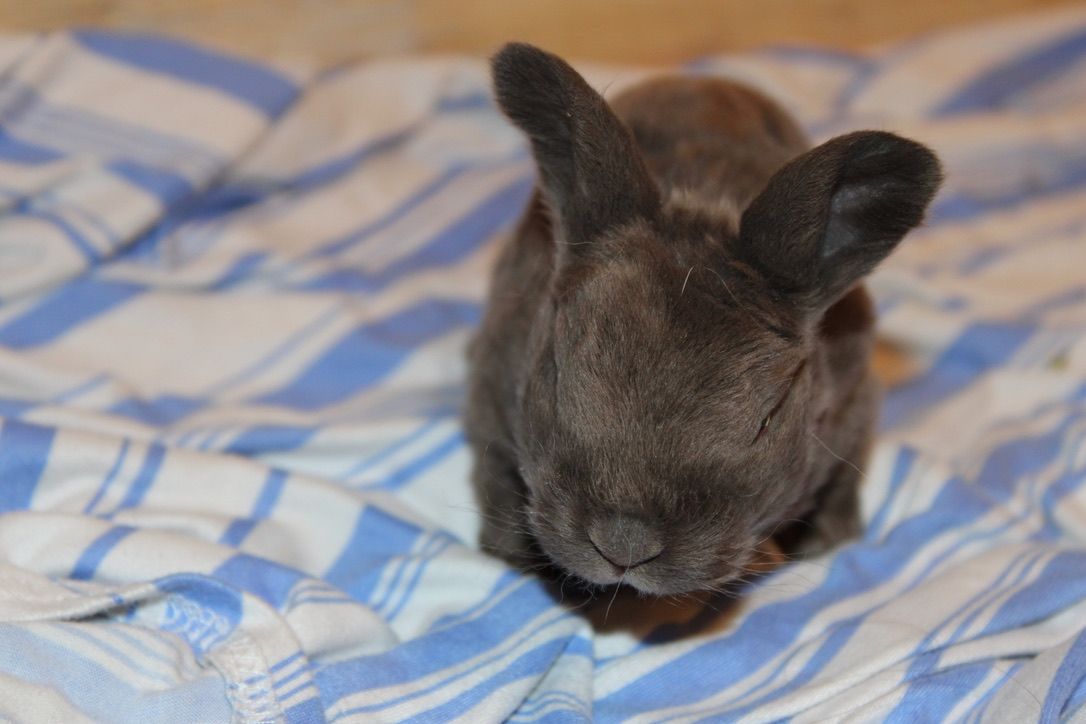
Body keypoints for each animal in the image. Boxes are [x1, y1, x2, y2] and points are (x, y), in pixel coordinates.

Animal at [464, 42, 942, 596]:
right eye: (555, 376)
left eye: (766, 421)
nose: (625, 543)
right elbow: (496, 480)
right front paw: (512, 559)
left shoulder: (857, 406)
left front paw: (827, 547)